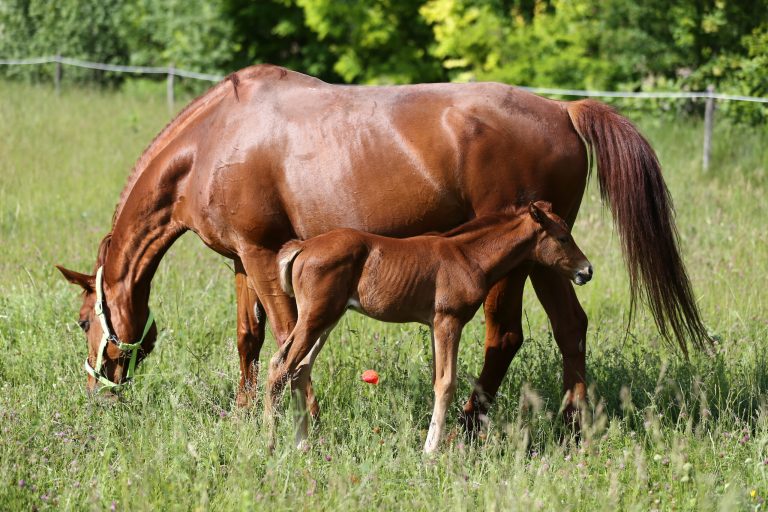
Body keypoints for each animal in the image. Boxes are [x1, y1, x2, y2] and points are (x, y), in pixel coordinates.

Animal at [269, 201, 592, 452]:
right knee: (280, 366)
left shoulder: (435, 324)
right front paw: (430, 451)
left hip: (326, 321)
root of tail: (302, 246)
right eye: (563, 238)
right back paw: (271, 440)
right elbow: (446, 383)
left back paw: (302, 443)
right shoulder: (448, 320)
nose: (586, 271)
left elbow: (437, 380)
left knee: (298, 369)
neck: (468, 256)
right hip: (315, 318)